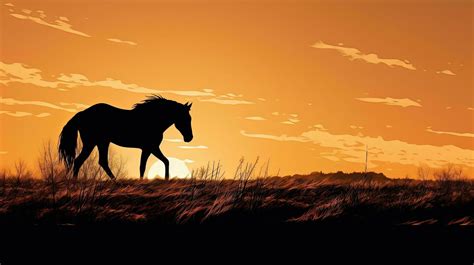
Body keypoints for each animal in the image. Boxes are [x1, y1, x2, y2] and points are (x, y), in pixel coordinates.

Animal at [58, 94, 193, 179]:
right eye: (185, 118)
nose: (189, 138)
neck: (152, 119)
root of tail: (81, 114)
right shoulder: (150, 147)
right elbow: (146, 166)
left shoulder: (149, 148)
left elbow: (162, 162)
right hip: (92, 143)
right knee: (79, 161)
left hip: (102, 142)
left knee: (101, 162)